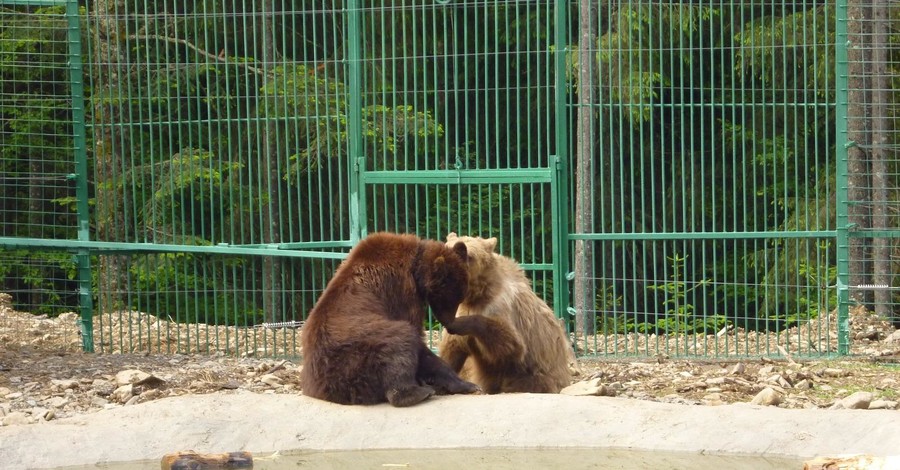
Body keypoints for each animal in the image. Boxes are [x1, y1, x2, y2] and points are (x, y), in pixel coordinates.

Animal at [300, 233, 486, 406]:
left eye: (459, 296)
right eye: (452, 297)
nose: (449, 323)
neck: (416, 269)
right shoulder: (401, 292)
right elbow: (418, 340)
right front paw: (467, 384)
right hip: (354, 352)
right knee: (398, 340)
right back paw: (417, 392)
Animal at [438, 232, 576, 392]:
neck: (476, 294)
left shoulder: (500, 307)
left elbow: (510, 344)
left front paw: (456, 323)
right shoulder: (463, 310)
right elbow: (452, 349)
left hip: (537, 372)